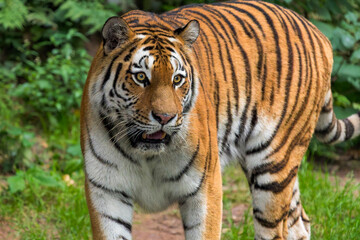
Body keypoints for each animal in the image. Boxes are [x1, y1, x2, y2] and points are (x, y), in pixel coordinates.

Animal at [80, 0, 360, 239]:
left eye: (177, 79)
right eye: (141, 78)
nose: (165, 117)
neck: (146, 154)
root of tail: (318, 32)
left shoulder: (205, 188)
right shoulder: (106, 192)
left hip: (274, 167)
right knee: (299, 222)